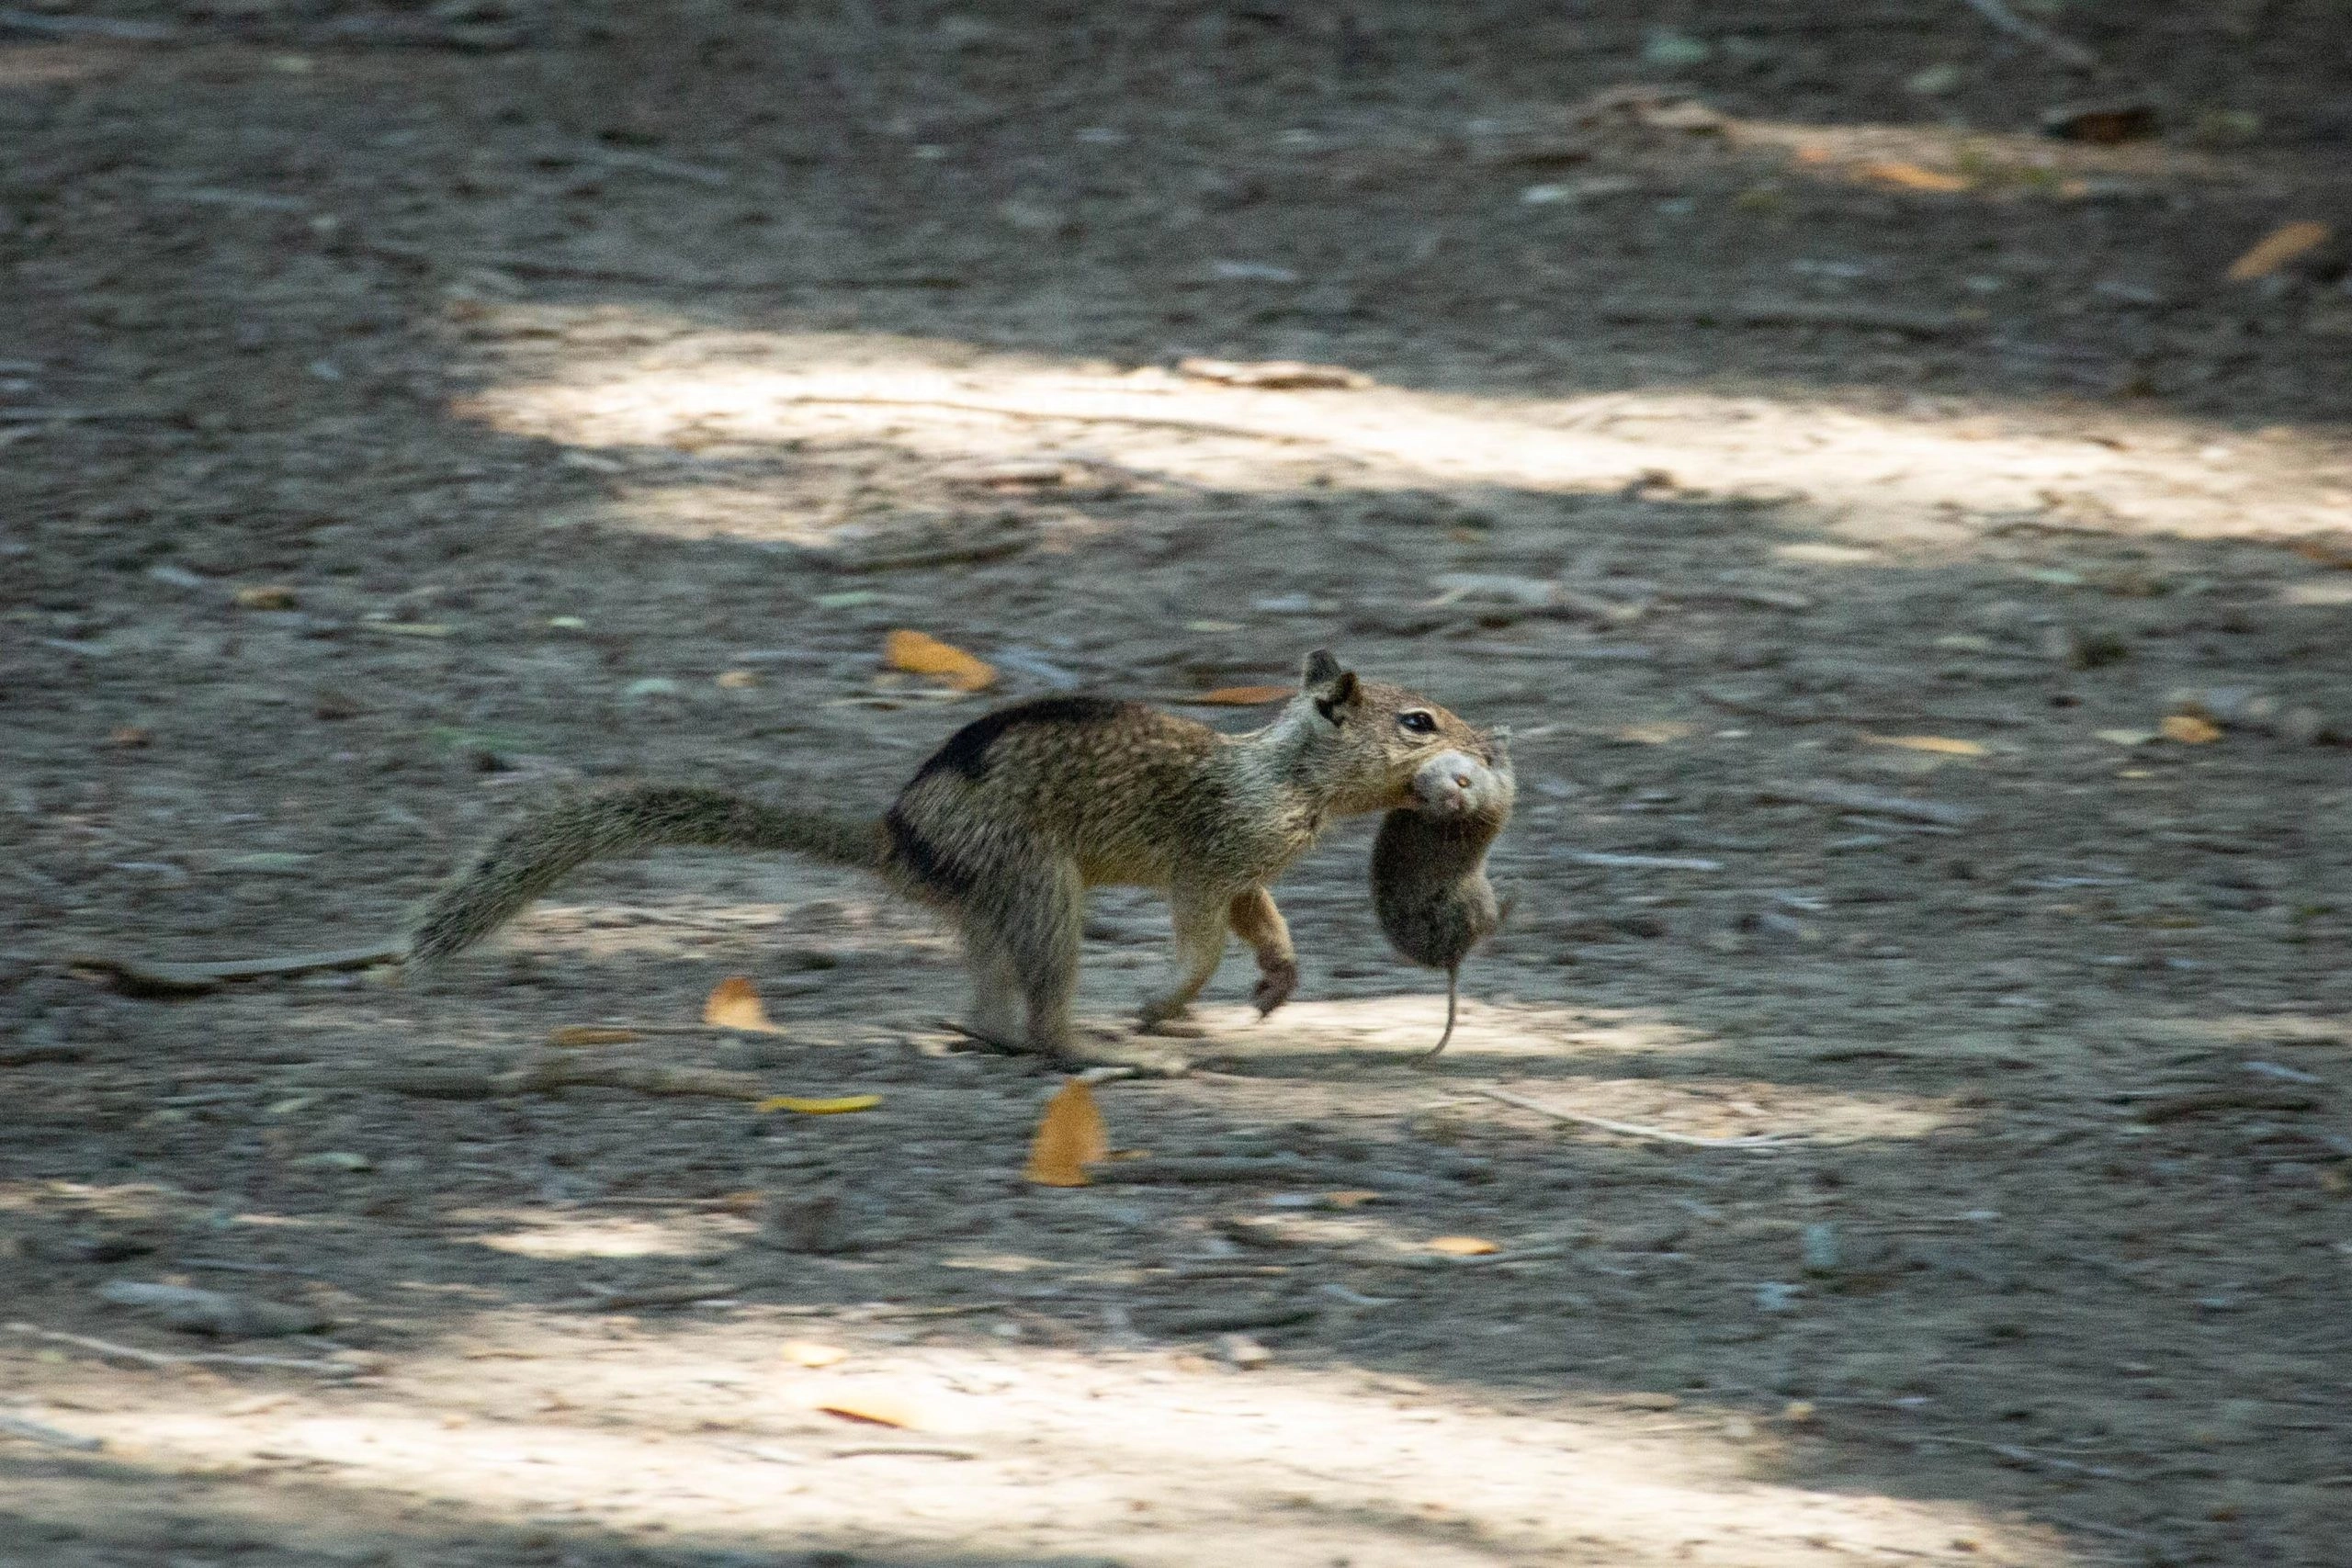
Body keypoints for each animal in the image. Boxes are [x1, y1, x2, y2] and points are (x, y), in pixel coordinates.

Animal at [412, 644, 1476, 1062]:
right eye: (1418, 721)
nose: (1487, 744)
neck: (1286, 774)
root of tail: (895, 838)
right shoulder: (1209, 859)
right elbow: (1204, 938)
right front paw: (1164, 1002)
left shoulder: (1248, 871)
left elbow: (1266, 925)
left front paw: (1277, 983)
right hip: (1040, 885)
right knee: (1042, 1011)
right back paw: (1090, 1046)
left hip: (996, 903)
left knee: (991, 1000)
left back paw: (983, 1032)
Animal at [1374, 733, 1514, 1053]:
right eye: (1424, 797)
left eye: (1462, 781)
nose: (1454, 802)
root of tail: (1452, 959)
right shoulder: (1500, 797)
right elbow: (1507, 776)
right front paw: (1498, 741)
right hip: (1477, 898)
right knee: (1491, 925)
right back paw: (1513, 895)